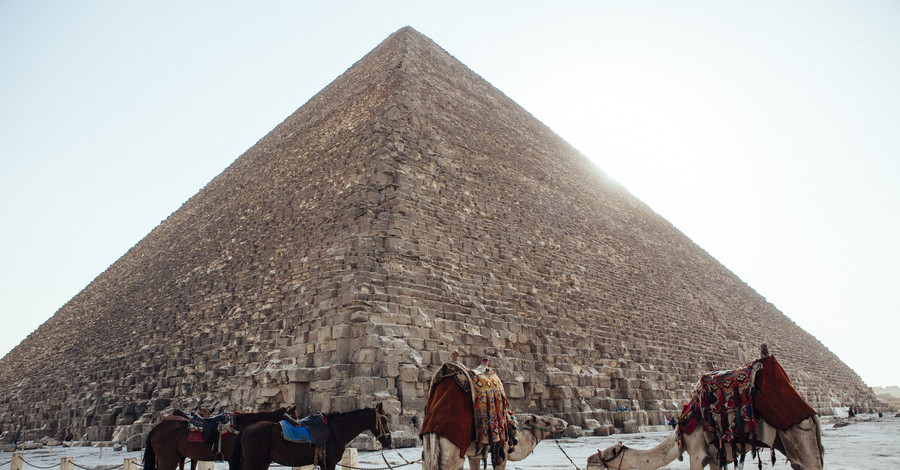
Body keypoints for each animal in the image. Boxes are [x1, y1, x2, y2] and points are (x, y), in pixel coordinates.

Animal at [237, 402, 392, 470]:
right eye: (384, 420)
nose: (389, 441)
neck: (336, 430)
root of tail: (245, 429)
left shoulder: (323, 463)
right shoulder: (330, 462)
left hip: (262, 462)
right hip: (254, 461)